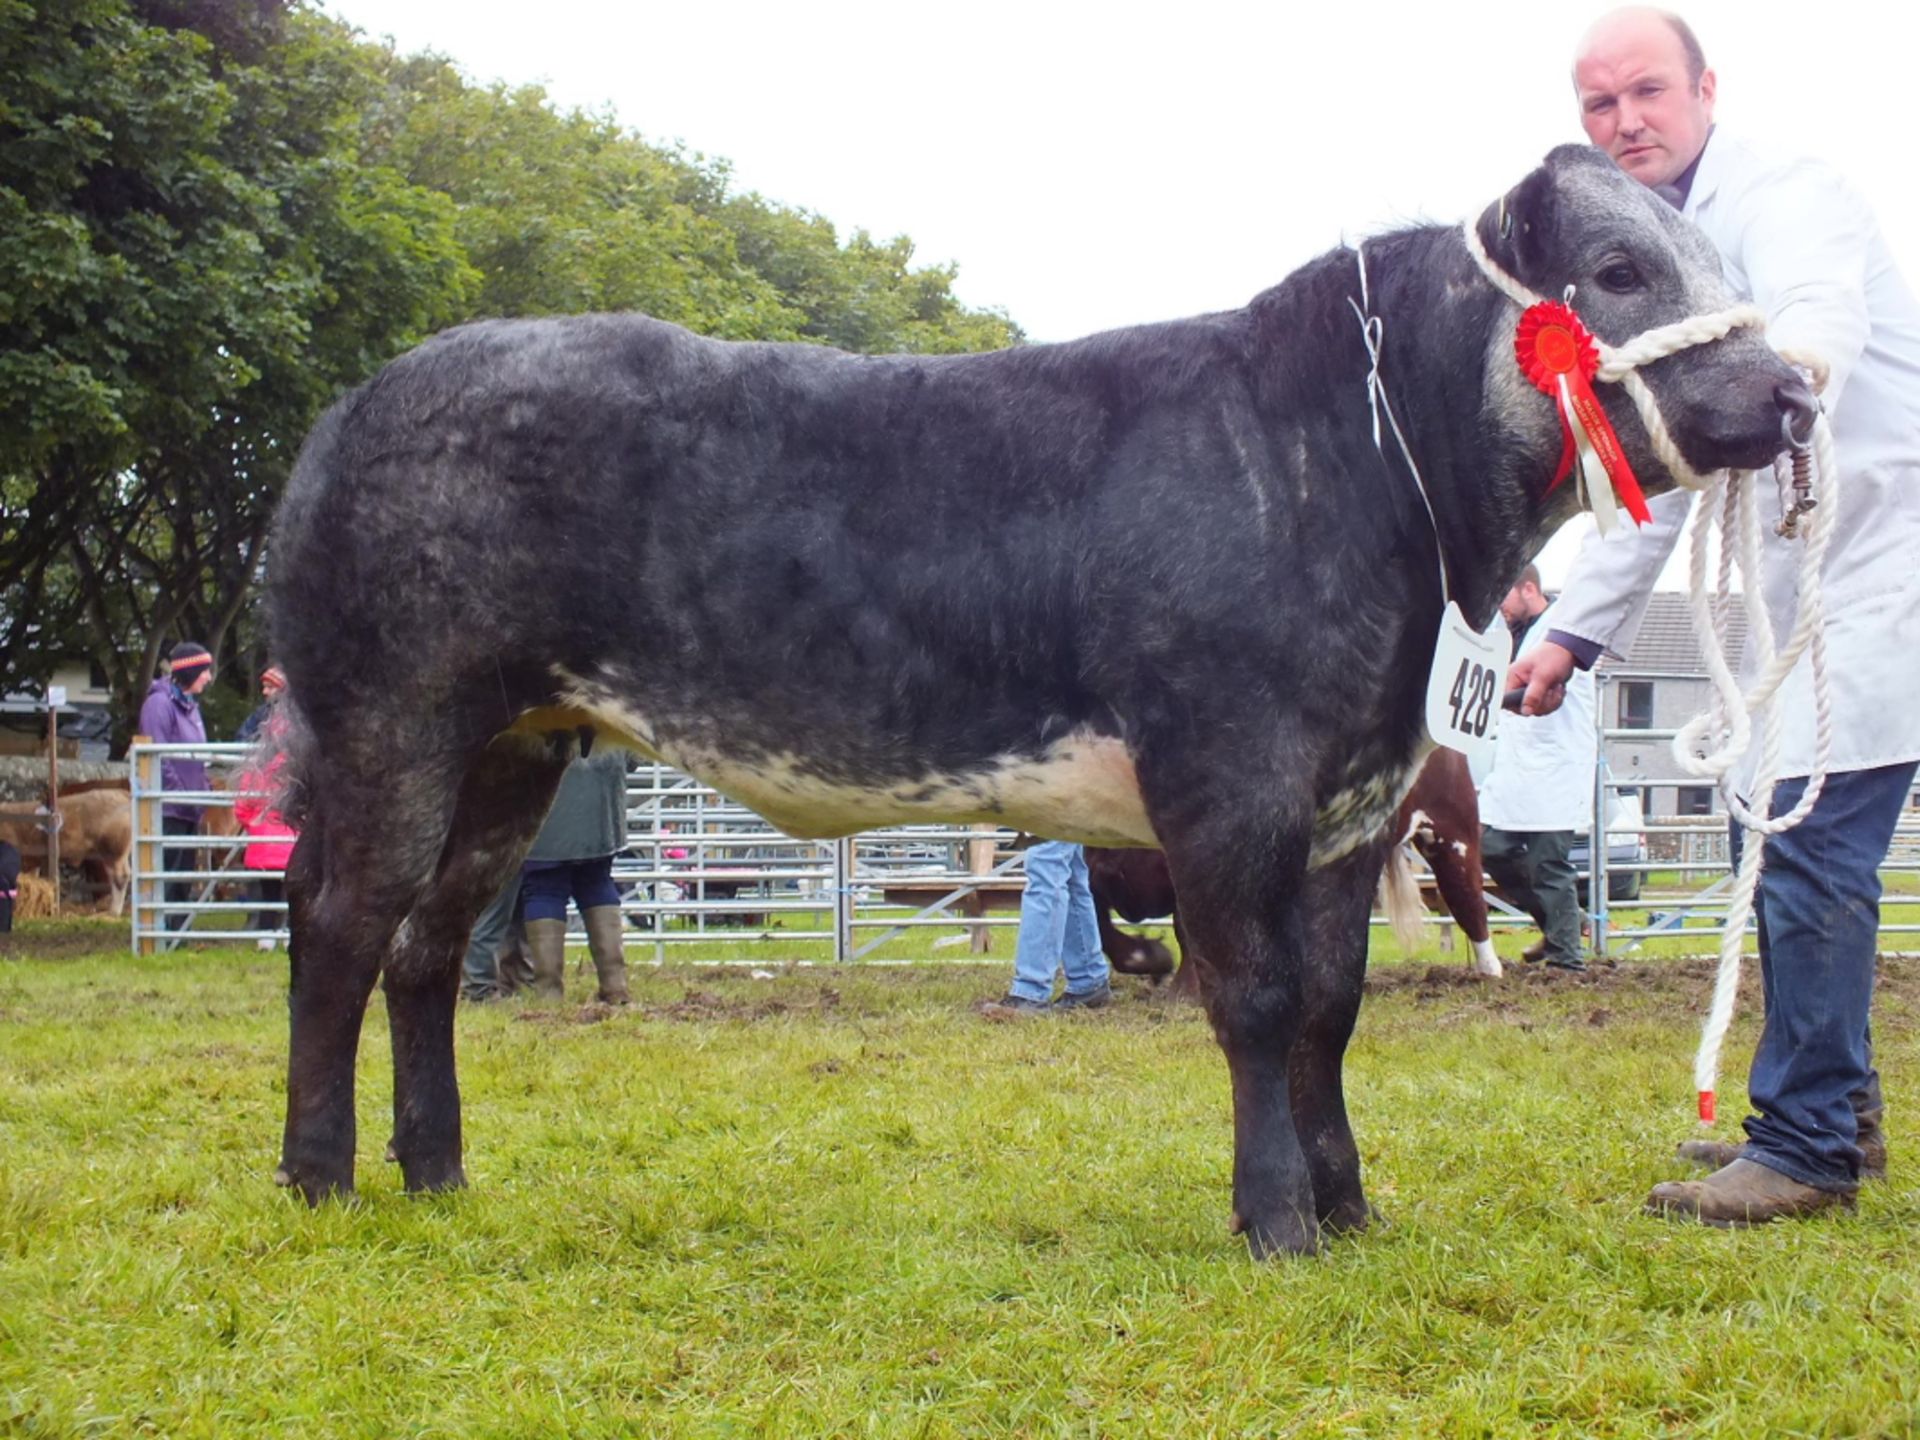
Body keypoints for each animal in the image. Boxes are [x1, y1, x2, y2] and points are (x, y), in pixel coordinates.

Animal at [263, 141, 1804, 1259]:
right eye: (1617, 268)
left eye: (1720, 260)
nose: (1791, 391)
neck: (1356, 476)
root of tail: (366, 400)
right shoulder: (1227, 778)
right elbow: (1255, 1000)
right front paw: (1278, 1221)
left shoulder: (1352, 801)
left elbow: (1331, 1006)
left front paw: (1353, 1205)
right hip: (394, 718)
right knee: (340, 928)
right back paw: (319, 1177)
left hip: (512, 748)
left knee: (424, 946)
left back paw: (439, 1171)